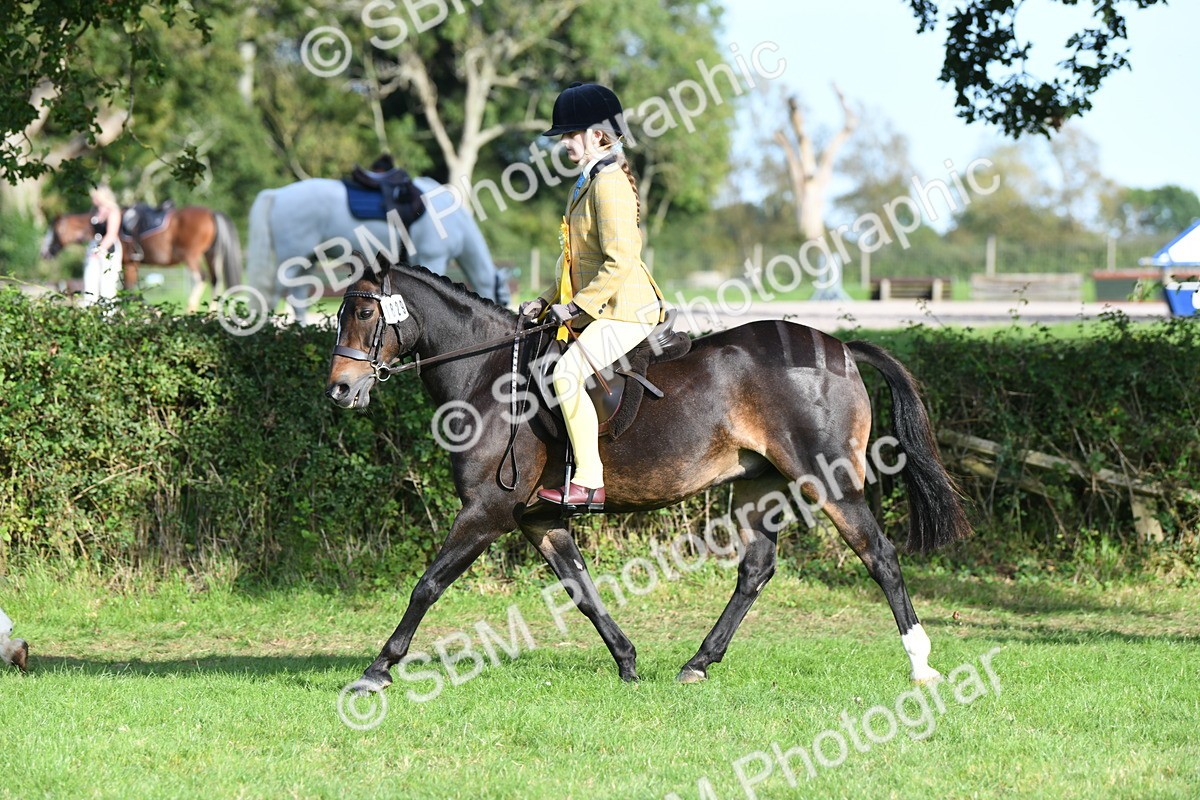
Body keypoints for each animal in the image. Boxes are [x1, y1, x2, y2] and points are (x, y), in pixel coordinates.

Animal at [41, 207, 243, 313]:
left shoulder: (130, 264)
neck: (106, 227)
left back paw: (190, 309)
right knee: (215, 279)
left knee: (201, 278)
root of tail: (212, 213)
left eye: (54, 230)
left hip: (191, 256)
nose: (44, 252)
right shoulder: (132, 265)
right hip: (210, 254)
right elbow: (133, 293)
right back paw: (212, 311)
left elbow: (130, 292)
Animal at [245, 177, 509, 324]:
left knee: (298, 298)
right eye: (504, 299)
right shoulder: (433, 257)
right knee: (274, 295)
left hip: (307, 260)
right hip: (291, 260)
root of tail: (277, 194)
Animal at [324, 262, 972, 693]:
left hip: (829, 479)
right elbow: (582, 591)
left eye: (364, 313)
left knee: (879, 556)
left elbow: (427, 585)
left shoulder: (487, 511)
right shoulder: (540, 518)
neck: (487, 376)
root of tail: (839, 346)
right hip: (758, 486)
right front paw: (628, 660)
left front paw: (377, 669)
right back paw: (698, 662)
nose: (340, 391)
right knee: (756, 571)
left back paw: (921, 664)